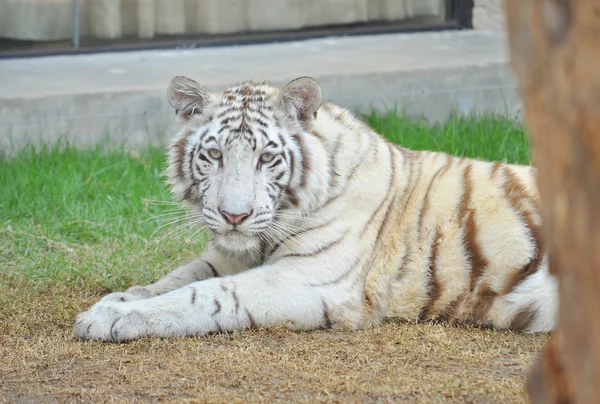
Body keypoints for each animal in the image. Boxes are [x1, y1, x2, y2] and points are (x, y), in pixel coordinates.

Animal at [74, 75, 556, 340]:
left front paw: (115, 317)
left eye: (266, 158)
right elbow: (177, 278)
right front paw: (119, 299)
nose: (234, 216)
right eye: (213, 155)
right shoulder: (230, 254)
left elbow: (207, 294)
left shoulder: (309, 278)